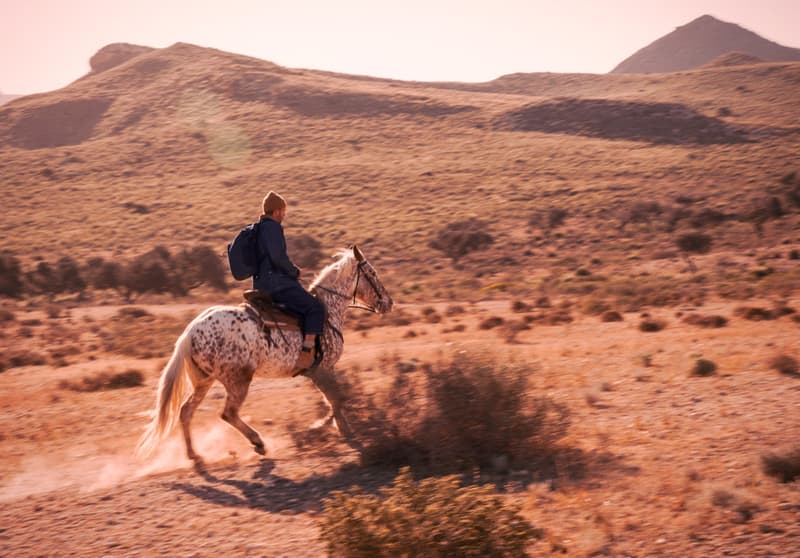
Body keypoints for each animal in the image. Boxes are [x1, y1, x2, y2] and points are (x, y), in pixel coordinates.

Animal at [138, 245, 394, 468]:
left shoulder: (317, 372)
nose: (388, 303)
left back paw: (195, 456)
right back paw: (258, 443)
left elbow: (333, 398)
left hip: (203, 381)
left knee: (186, 412)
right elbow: (337, 398)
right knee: (228, 413)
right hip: (238, 380)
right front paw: (328, 426)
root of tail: (189, 332)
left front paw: (340, 428)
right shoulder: (323, 369)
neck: (327, 310)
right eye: (372, 273)